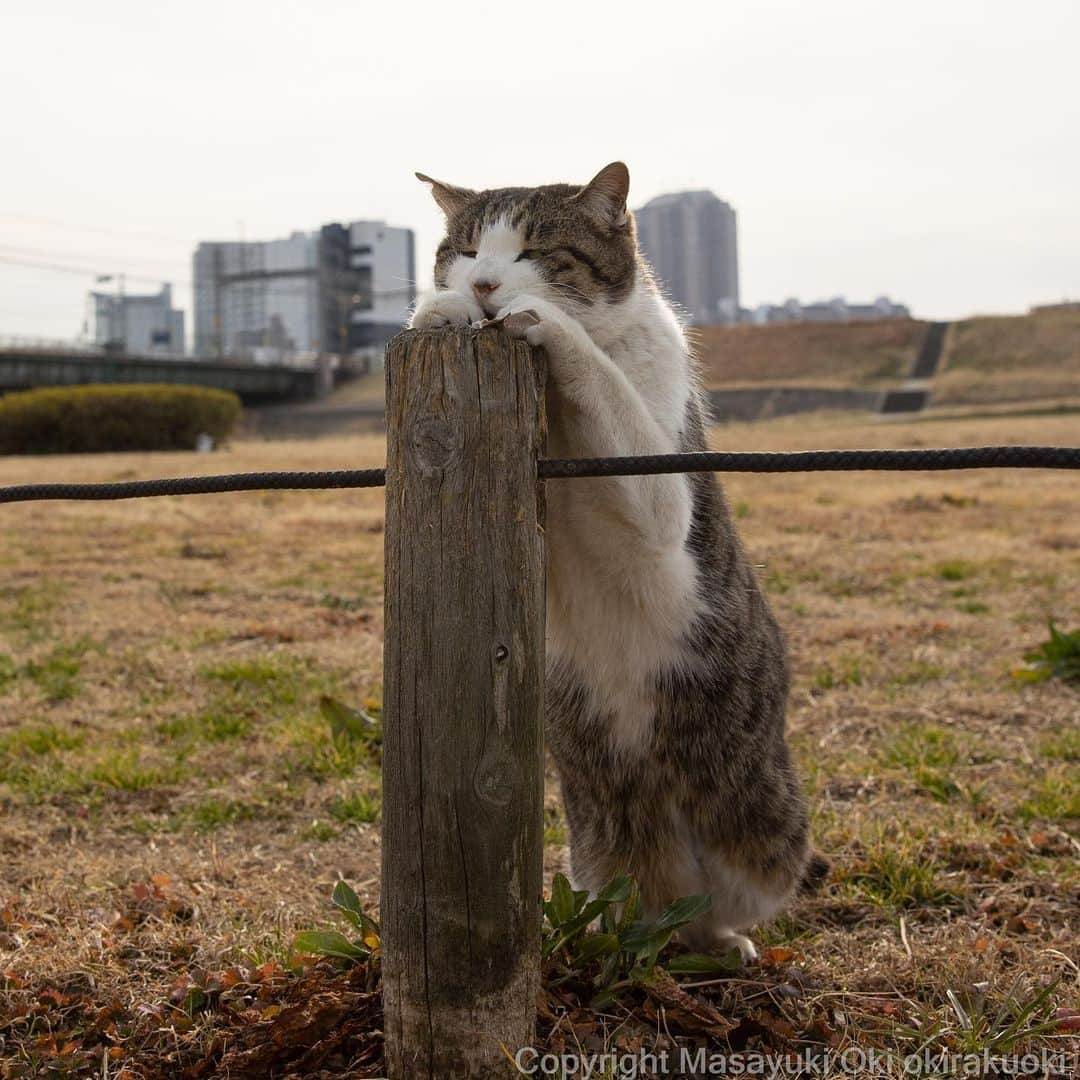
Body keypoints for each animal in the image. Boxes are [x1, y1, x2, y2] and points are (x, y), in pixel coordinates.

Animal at [408, 162, 820, 963]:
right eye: (467, 253)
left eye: (535, 252)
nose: (484, 286)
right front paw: (439, 310)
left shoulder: (658, 489)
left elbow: (606, 386)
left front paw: (547, 322)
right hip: (602, 841)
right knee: (644, 903)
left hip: (756, 825)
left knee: (728, 898)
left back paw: (722, 942)